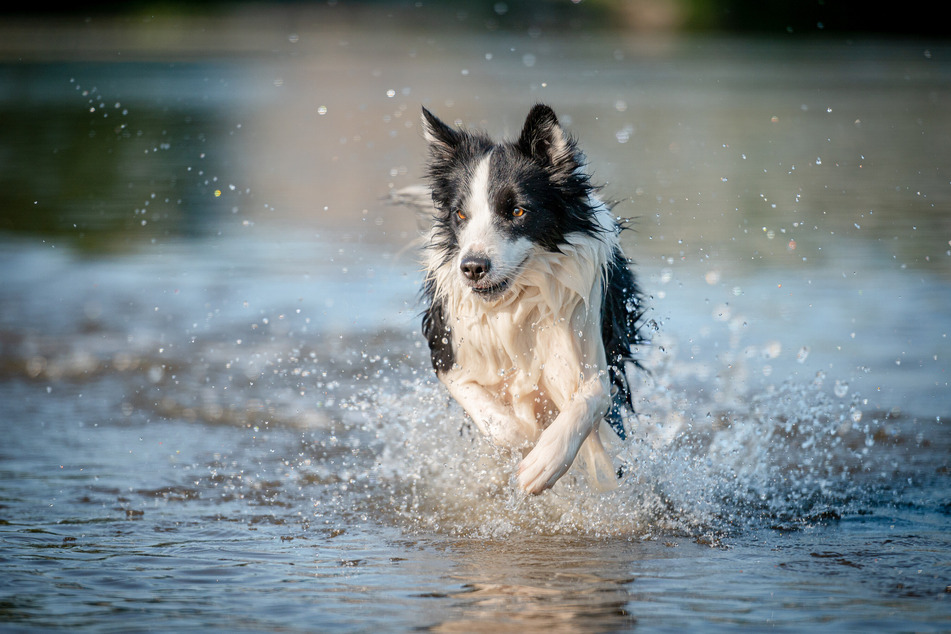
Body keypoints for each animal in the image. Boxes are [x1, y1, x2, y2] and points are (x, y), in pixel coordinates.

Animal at [414, 103, 644, 492]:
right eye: (460, 214)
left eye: (517, 211)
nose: (472, 267)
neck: (516, 301)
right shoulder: (446, 348)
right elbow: (492, 415)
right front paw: (524, 440)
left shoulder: (592, 349)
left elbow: (592, 396)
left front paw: (544, 462)